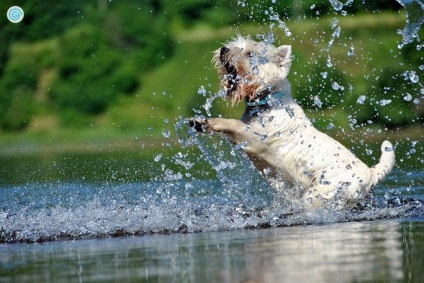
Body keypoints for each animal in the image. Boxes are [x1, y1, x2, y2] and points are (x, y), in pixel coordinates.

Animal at [190, 35, 396, 210]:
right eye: (234, 45)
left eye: (250, 53)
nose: (223, 49)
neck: (267, 101)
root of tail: (370, 174)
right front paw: (200, 122)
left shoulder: (254, 137)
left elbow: (231, 123)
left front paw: (209, 121)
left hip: (321, 193)